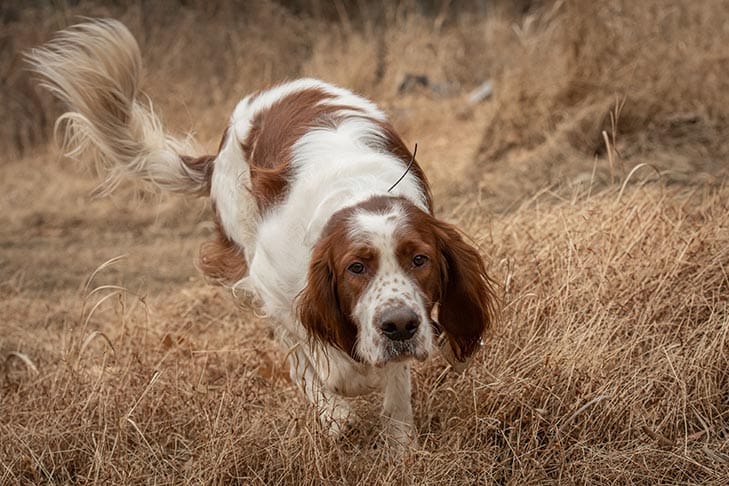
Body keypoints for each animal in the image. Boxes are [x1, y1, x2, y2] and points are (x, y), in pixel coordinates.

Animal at [28, 19, 494, 450]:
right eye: (356, 267)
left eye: (420, 259)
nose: (399, 327)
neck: (356, 189)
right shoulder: (277, 287)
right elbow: (320, 360)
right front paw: (337, 409)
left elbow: (393, 382)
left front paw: (400, 447)